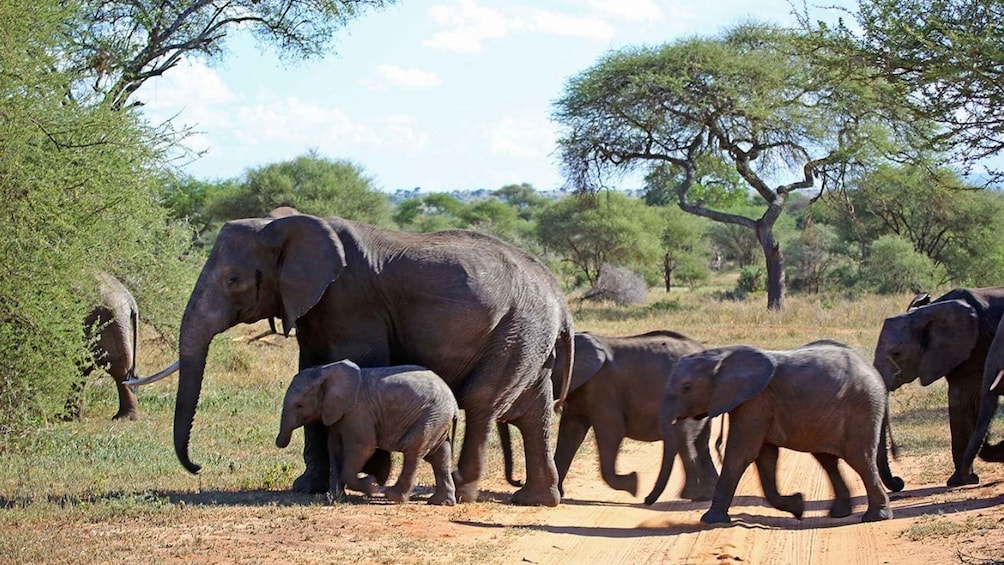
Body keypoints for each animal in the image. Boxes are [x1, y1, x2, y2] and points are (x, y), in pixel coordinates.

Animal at [277, 361, 459, 505]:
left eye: (299, 405)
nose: (279, 443)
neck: (326, 370)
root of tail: (454, 405)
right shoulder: (339, 414)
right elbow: (334, 448)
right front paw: (336, 498)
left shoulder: (358, 412)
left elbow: (363, 448)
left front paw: (371, 484)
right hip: (437, 419)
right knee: (440, 455)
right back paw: (441, 502)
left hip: (430, 416)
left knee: (413, 450)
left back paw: (393, 496)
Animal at [497, 329, 718, 501]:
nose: (517, 481)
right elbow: (570, 433)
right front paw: (560, 494)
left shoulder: (604, 389)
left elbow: (611, 432)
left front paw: (634, 484)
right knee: (701, 442)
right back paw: (706, 495)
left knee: (683, 439)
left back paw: (691, 495)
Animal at [662, 341, 907, 525]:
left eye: (686, 388)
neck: (721, 355)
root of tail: (876, 375)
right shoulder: (756, 404)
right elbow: (765, 458)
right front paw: (797, 505)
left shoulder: (755, 401)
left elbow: (741, 454)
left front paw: (710, 520)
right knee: (828, 459)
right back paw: (839, 513)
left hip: (862, 408)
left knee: (860, 459)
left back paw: (875, 517)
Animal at [871, 287, 1003, 485]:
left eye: (897, 353)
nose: (898, 481)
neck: (929, 310)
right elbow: (958, 401)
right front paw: (961, 480)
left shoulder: (976, 346)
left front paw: (960, 480)